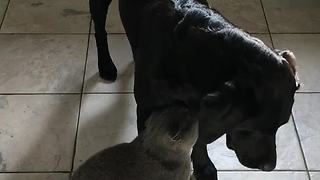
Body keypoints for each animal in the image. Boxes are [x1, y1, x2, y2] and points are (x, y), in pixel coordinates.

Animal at [89, 0, 298, 179]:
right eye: (249, 129)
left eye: (280, 127)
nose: (269, 167)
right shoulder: (146, 108)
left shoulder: (200, 111)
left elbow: (199, 139)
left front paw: (202, 165)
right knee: (99, 29)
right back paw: (105, 64)